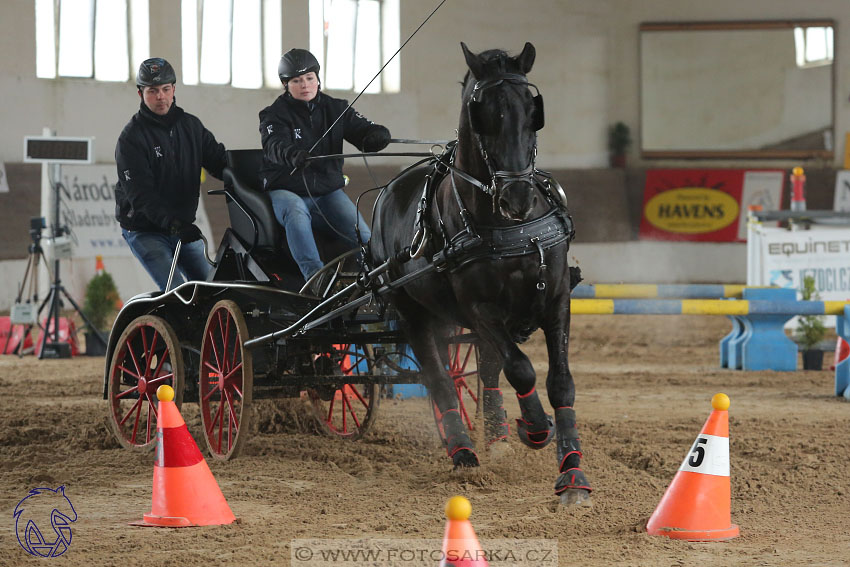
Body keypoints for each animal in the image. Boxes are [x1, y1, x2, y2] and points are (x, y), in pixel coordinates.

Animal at [372, 43, 588, 506]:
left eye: (531, 108)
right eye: (481, 113)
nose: (518, 197)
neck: (506, 227)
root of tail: (387, 193)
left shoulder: (557, 297)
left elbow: (559, 382)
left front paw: (572, 472)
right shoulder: (477, 308)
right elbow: (521, 368)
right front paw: (535, 429)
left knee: (487, 370)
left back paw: (498, 437)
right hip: (413, 311)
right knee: (440, 379)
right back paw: (463, 451)